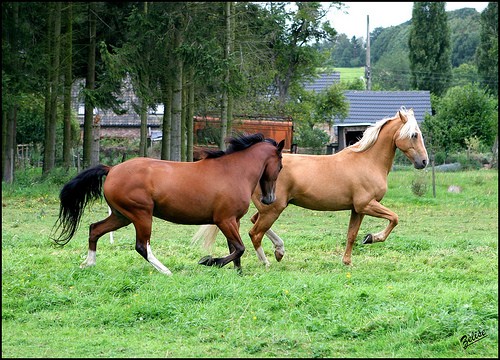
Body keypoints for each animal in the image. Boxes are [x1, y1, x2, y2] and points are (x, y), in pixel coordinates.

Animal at [51, 134, 286, 274]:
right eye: (281, 166)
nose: (268, 200)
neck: (234, 171)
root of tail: (112, 169)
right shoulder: (224, 220)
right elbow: (239, 248)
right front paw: (209, 261)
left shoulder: (233, 221)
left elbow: (236, 250)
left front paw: (238, 273)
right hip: (140, 214)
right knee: (141, 246)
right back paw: (165, 271)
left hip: (121, 216)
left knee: (94, 229)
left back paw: (89, 263)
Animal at [193, 107, 428, 268]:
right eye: (414, 134)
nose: (423, 162)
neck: (367, 161)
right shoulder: (366, 204)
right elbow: (394, 218)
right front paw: (371, 238)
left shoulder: (357, 209)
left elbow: (351, 235)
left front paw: (347, 261)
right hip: (273, 208)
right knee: (254, 233)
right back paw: (267, 262)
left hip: (269, 207)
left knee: (254, 223)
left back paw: (279, 251)